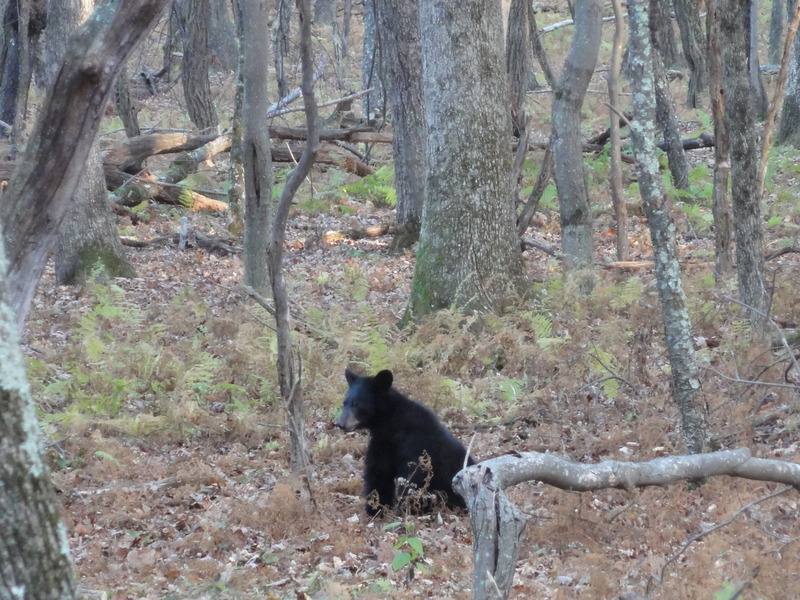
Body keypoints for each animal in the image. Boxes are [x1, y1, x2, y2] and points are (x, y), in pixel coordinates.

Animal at [332, 370, 476, 516]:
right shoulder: (383, 442)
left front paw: (406, 508)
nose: (340, 423)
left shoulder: (414, 443)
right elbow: (379, 471)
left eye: (357, 404)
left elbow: (412, 476)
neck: (390, 421)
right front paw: (376, 508)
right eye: (345, 402)